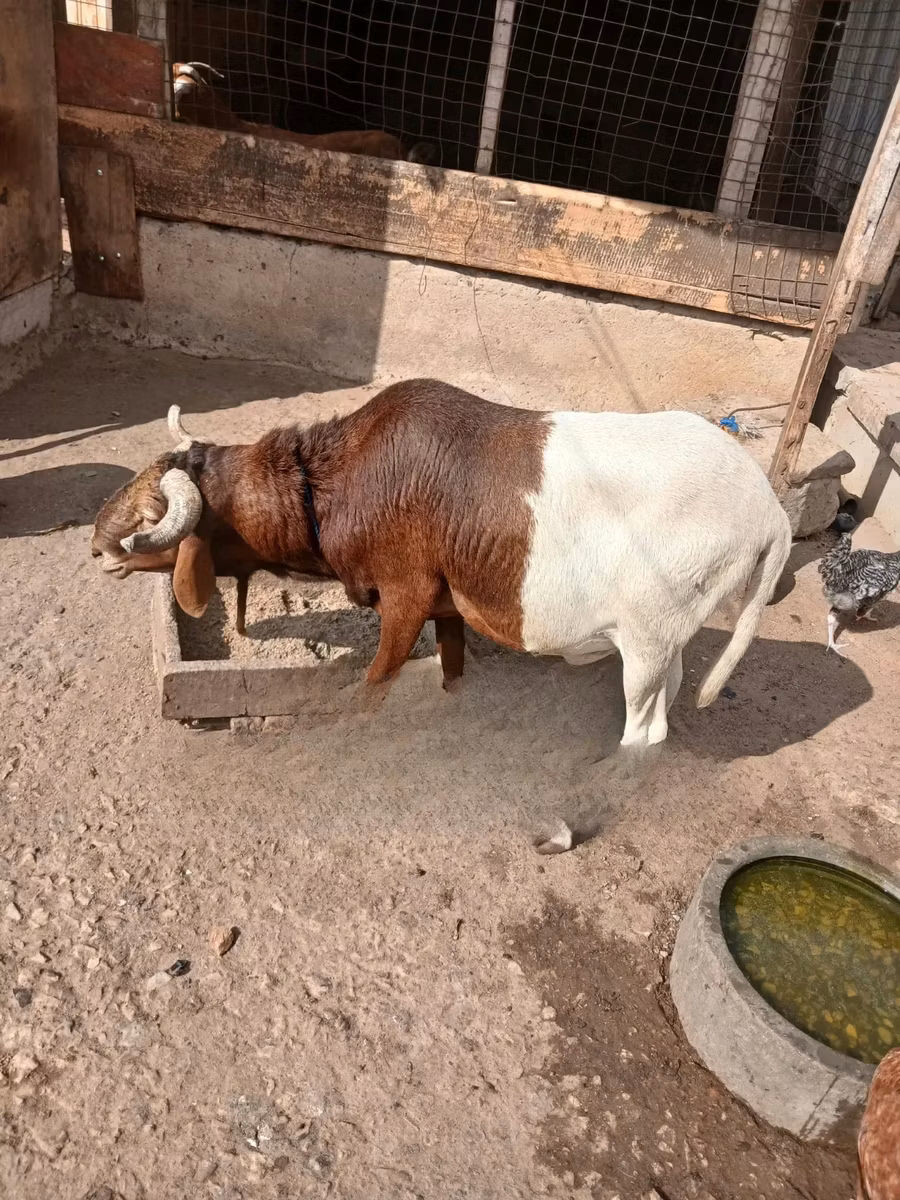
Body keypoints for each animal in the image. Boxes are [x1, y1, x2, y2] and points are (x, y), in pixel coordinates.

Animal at [92, 380, 791, 767]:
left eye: (154, 510)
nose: (99, 547)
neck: (334, 485)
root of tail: (771, 512)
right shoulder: (449, 606)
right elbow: (453, 674)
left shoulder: (404, 597)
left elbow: (373, 687)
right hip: (667, 637)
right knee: (665, 708)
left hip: (645, 639)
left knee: (643, 729)